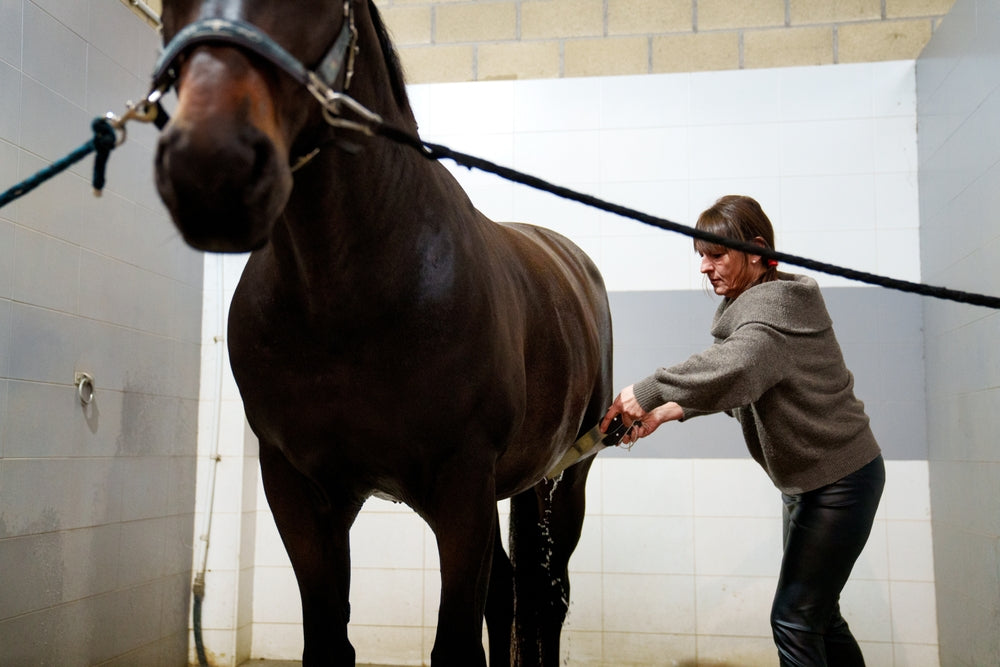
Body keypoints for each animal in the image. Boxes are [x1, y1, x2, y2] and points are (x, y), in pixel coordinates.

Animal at [152, 2, 614, 665]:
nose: (211, 168)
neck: (350, 296)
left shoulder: (462, 484)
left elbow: (456, 646)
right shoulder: (300, 488)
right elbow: (328, 640)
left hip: (564, 478)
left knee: (545, 600)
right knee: (509, 591)